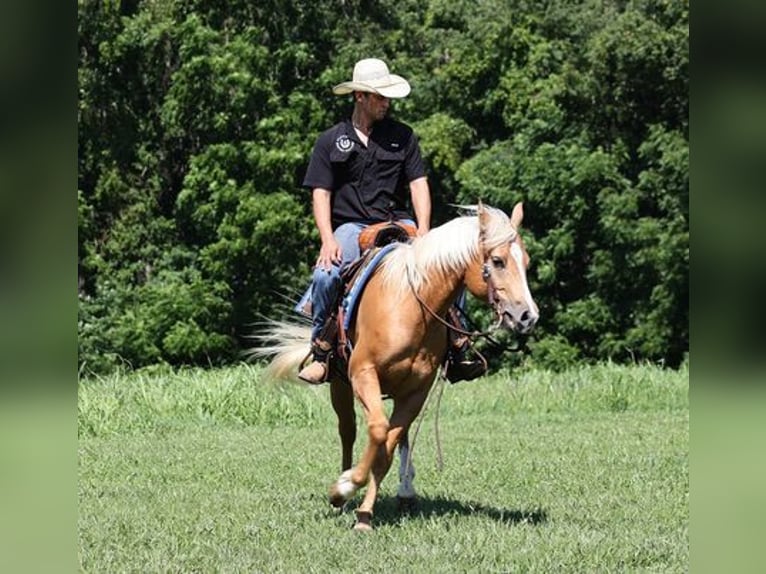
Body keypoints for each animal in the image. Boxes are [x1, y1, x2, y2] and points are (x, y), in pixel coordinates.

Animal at [258, 202, 540, 532]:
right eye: (497, 261)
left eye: (526, 262)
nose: (528, 316)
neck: (411, 307)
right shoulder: (363, 374)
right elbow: (378, 431)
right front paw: (343, 488)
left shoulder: (417, 390)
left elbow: (387, 449)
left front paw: (365, 514)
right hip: (340, 384)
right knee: (348, 431)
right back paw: (344, 493)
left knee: (399, 436)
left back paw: (405, 493)